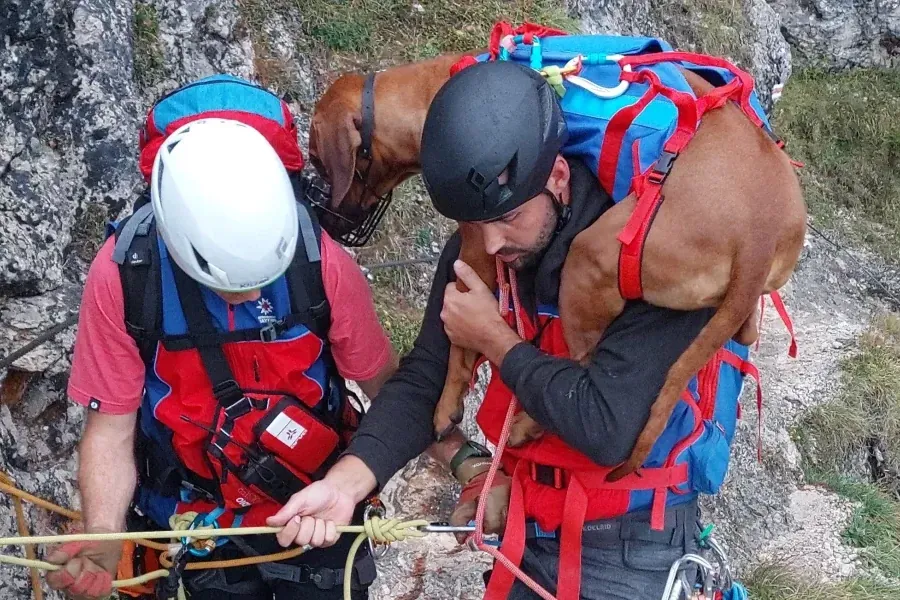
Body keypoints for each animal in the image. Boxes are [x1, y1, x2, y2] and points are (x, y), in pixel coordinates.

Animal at [312, 54, 808, 474]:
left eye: (317, 160)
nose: (328, 224)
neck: (430, 93)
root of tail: (759, 234)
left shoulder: (478, 247)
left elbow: (457, 345)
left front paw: (447, 402)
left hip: (590, 260)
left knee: (580, 368)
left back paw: (527, 425)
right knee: (746, 330)